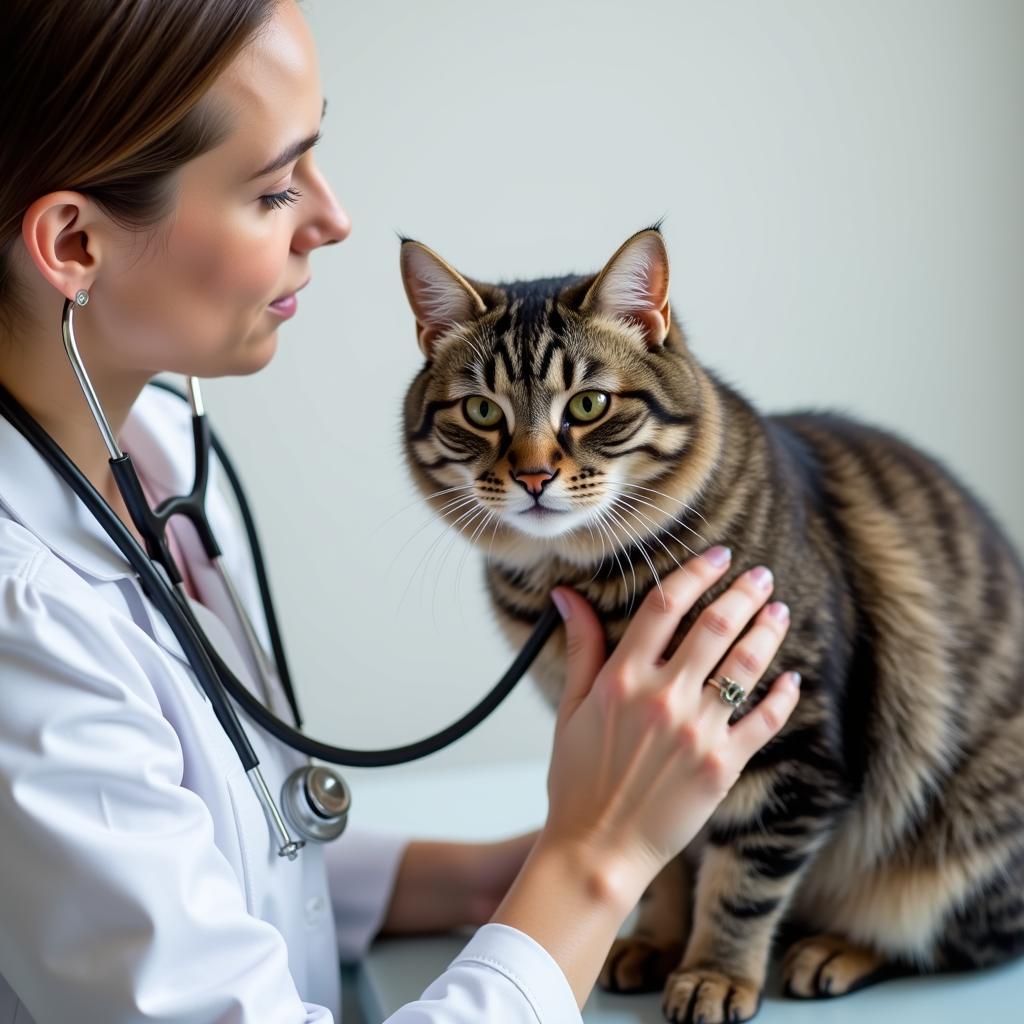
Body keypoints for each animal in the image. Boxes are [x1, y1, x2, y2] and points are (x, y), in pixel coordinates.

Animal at [395, 228, 1019, 1019]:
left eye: (588, 404)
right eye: (481, 412)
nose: (534, 477)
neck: (581, 581)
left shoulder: (795, 744)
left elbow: (743, 882)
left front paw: (716, 974)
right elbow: (662, 866)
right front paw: (656, 943)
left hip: (963, 841)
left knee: (938, 939)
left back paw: (835, 950)